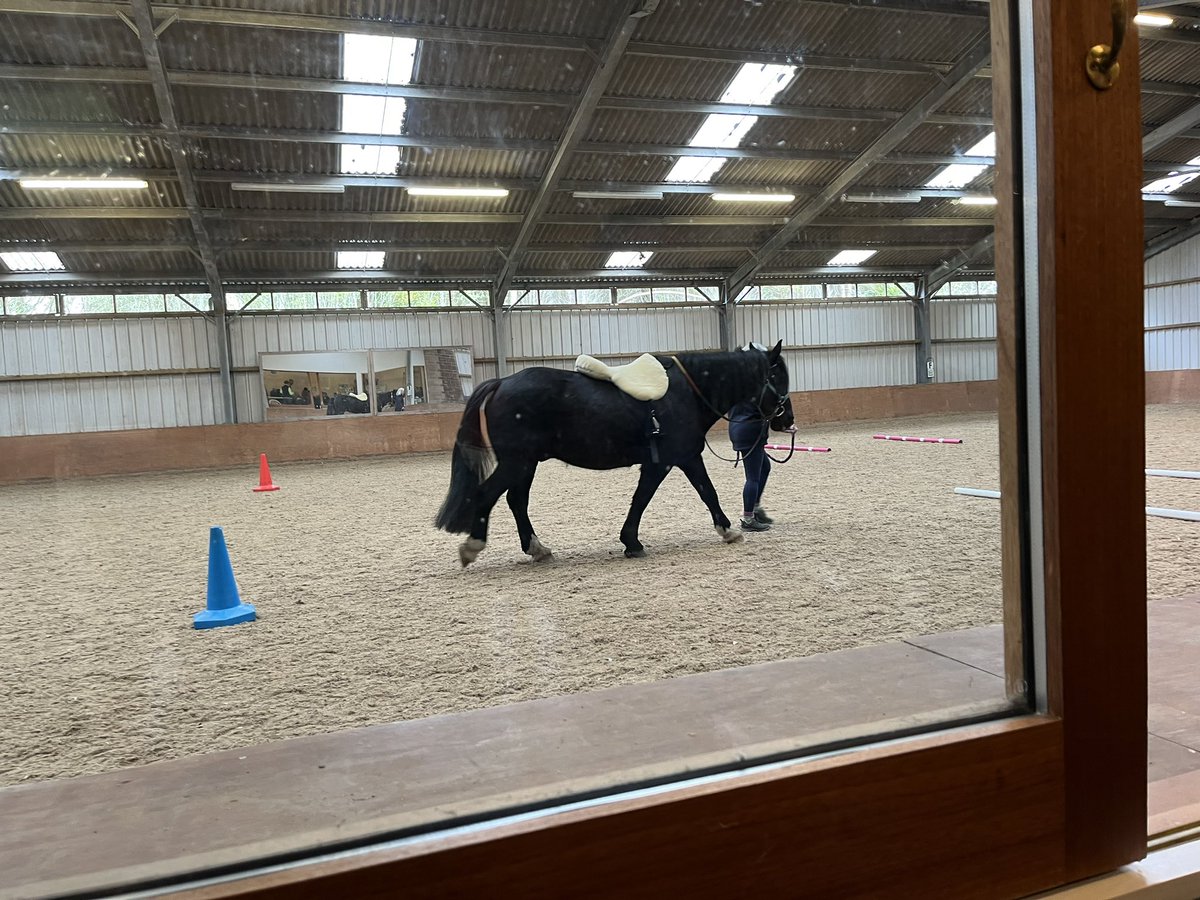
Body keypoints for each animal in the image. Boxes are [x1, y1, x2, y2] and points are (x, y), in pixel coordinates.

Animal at [435, 341, 794, 566]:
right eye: (777, 376)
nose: (787, 420)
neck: (688, 391)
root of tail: (501, 382)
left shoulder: (680, 459)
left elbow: (698, 492)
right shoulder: (667, 462)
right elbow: (661, 497)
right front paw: (633, 542)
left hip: (526, 463)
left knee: (515, 501)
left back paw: (538, 549)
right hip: (517, 462)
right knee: (488, 495)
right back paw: (473, 546)